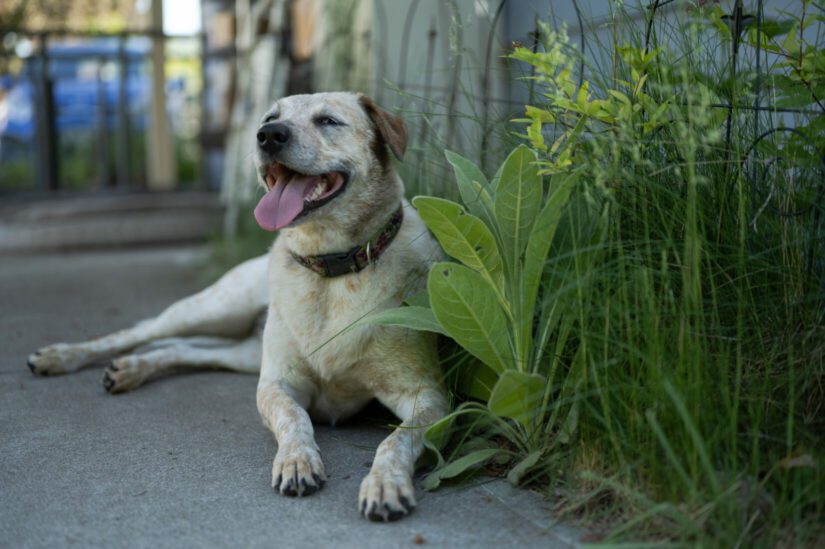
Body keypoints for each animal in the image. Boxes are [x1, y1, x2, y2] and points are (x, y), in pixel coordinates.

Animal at [27, 92, 450, 520]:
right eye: (269, 118)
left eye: (328, 120)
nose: (269, 136)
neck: (331, 272)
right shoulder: (275, 384)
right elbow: (295, 419)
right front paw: (296, 461)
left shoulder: (427, 396)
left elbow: (396, 439)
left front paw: (385, 483)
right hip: (214, 308)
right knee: (141, 332)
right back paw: (62, 357)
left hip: (245, 351)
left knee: (188, 350)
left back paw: (130, 368)